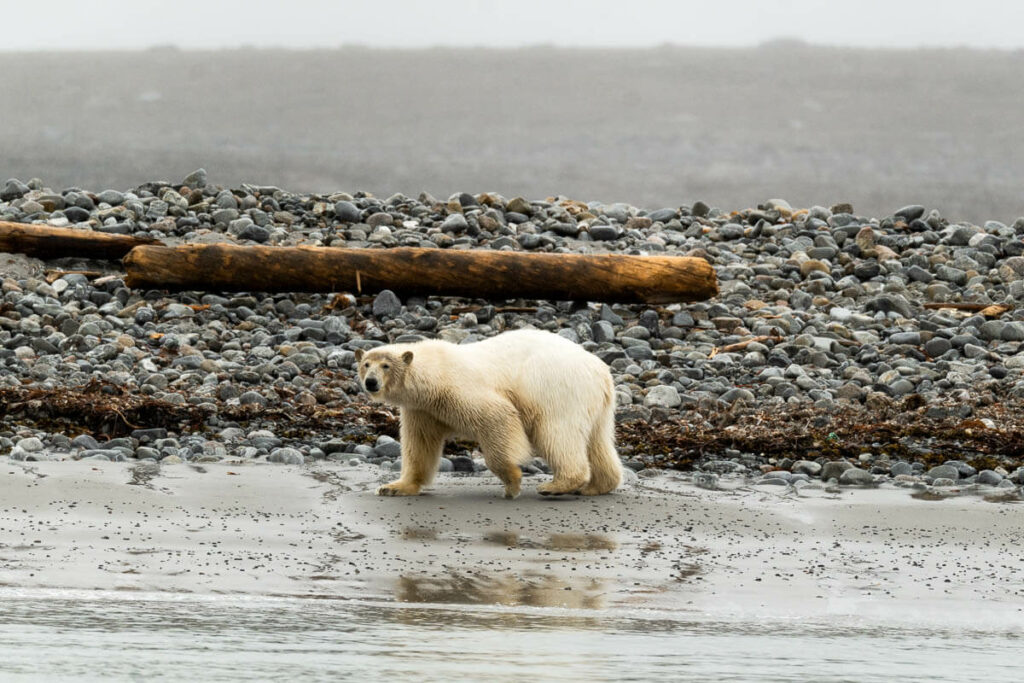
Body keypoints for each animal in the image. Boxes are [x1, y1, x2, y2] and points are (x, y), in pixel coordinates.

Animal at [356, 327, 618, 499]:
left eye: (385, 365)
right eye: (366, 364)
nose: (371, 382)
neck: (433, 372)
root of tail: (601, 372)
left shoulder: (456, 388)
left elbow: (497, 416)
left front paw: (512, 483)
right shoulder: (423, 409)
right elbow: (419, 445)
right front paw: (394, 487)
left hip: (556, 389)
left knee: (557, 434)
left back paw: (555, 486)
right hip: (597, 405)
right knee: (598, 442)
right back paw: (597, 485)